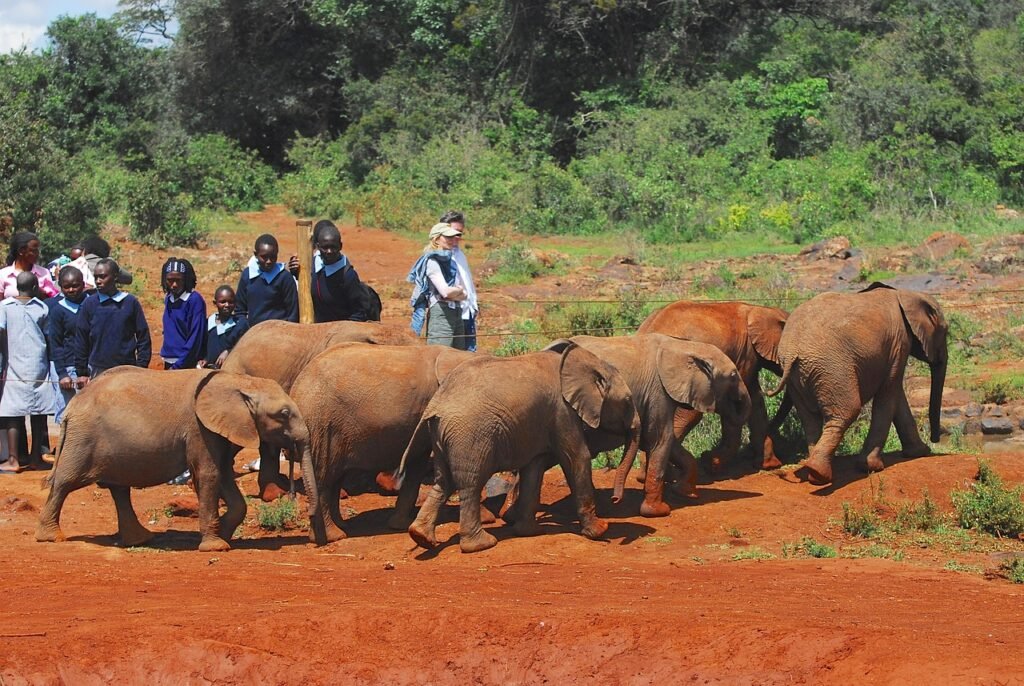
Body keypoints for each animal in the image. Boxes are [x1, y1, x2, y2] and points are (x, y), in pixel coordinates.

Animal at [35, 367, 317, 552]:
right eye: (283, 414)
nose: (313, 535)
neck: (238, 382)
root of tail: (70, 408)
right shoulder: (199, 429)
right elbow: (209, 475)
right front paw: (216, 547)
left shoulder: (216, 431)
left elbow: (223, 474)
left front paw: (225, 535)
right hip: (82, 440)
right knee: (64, 483)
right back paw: (51, 538)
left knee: (119, 490)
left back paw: (141, 540)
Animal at [290, 343, 476, 545]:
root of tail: (296, 389)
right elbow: (419, 464)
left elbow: (416, 465)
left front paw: (400, 525)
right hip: (322, 427)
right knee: (324, 479)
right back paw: (334, 536)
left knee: (335, 478)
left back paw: (339, 527)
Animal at [405, 341, 641, 553]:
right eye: (627, 401)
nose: (615, 499)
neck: (586, 362)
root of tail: (436, 405)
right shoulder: (562, 411)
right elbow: (577, 457)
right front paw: (600, 531)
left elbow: (534, 468)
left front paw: (530, 532)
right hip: (469, 435)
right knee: (470, 484)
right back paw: (481, 545)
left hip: (442, 435)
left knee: (444, 482)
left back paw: (421, 536)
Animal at [637, 300, 788, 471]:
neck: (762, 309)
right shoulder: (746, 355)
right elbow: (739, 403)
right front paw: (711, 463)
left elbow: (755, 400)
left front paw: (770, 465)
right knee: (689, 415)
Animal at [766, 283, 947, 485]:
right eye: (946, 331)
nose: (935, 439)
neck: (904, 294)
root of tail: (792, 351)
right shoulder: (899, 343)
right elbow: (888, 393)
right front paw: (871, 467)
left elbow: (895, 394)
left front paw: (919, 452)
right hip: (832, 368)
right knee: (847, 411)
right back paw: (820, 474)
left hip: (797, 376)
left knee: (810, 419)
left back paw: (815, 472)